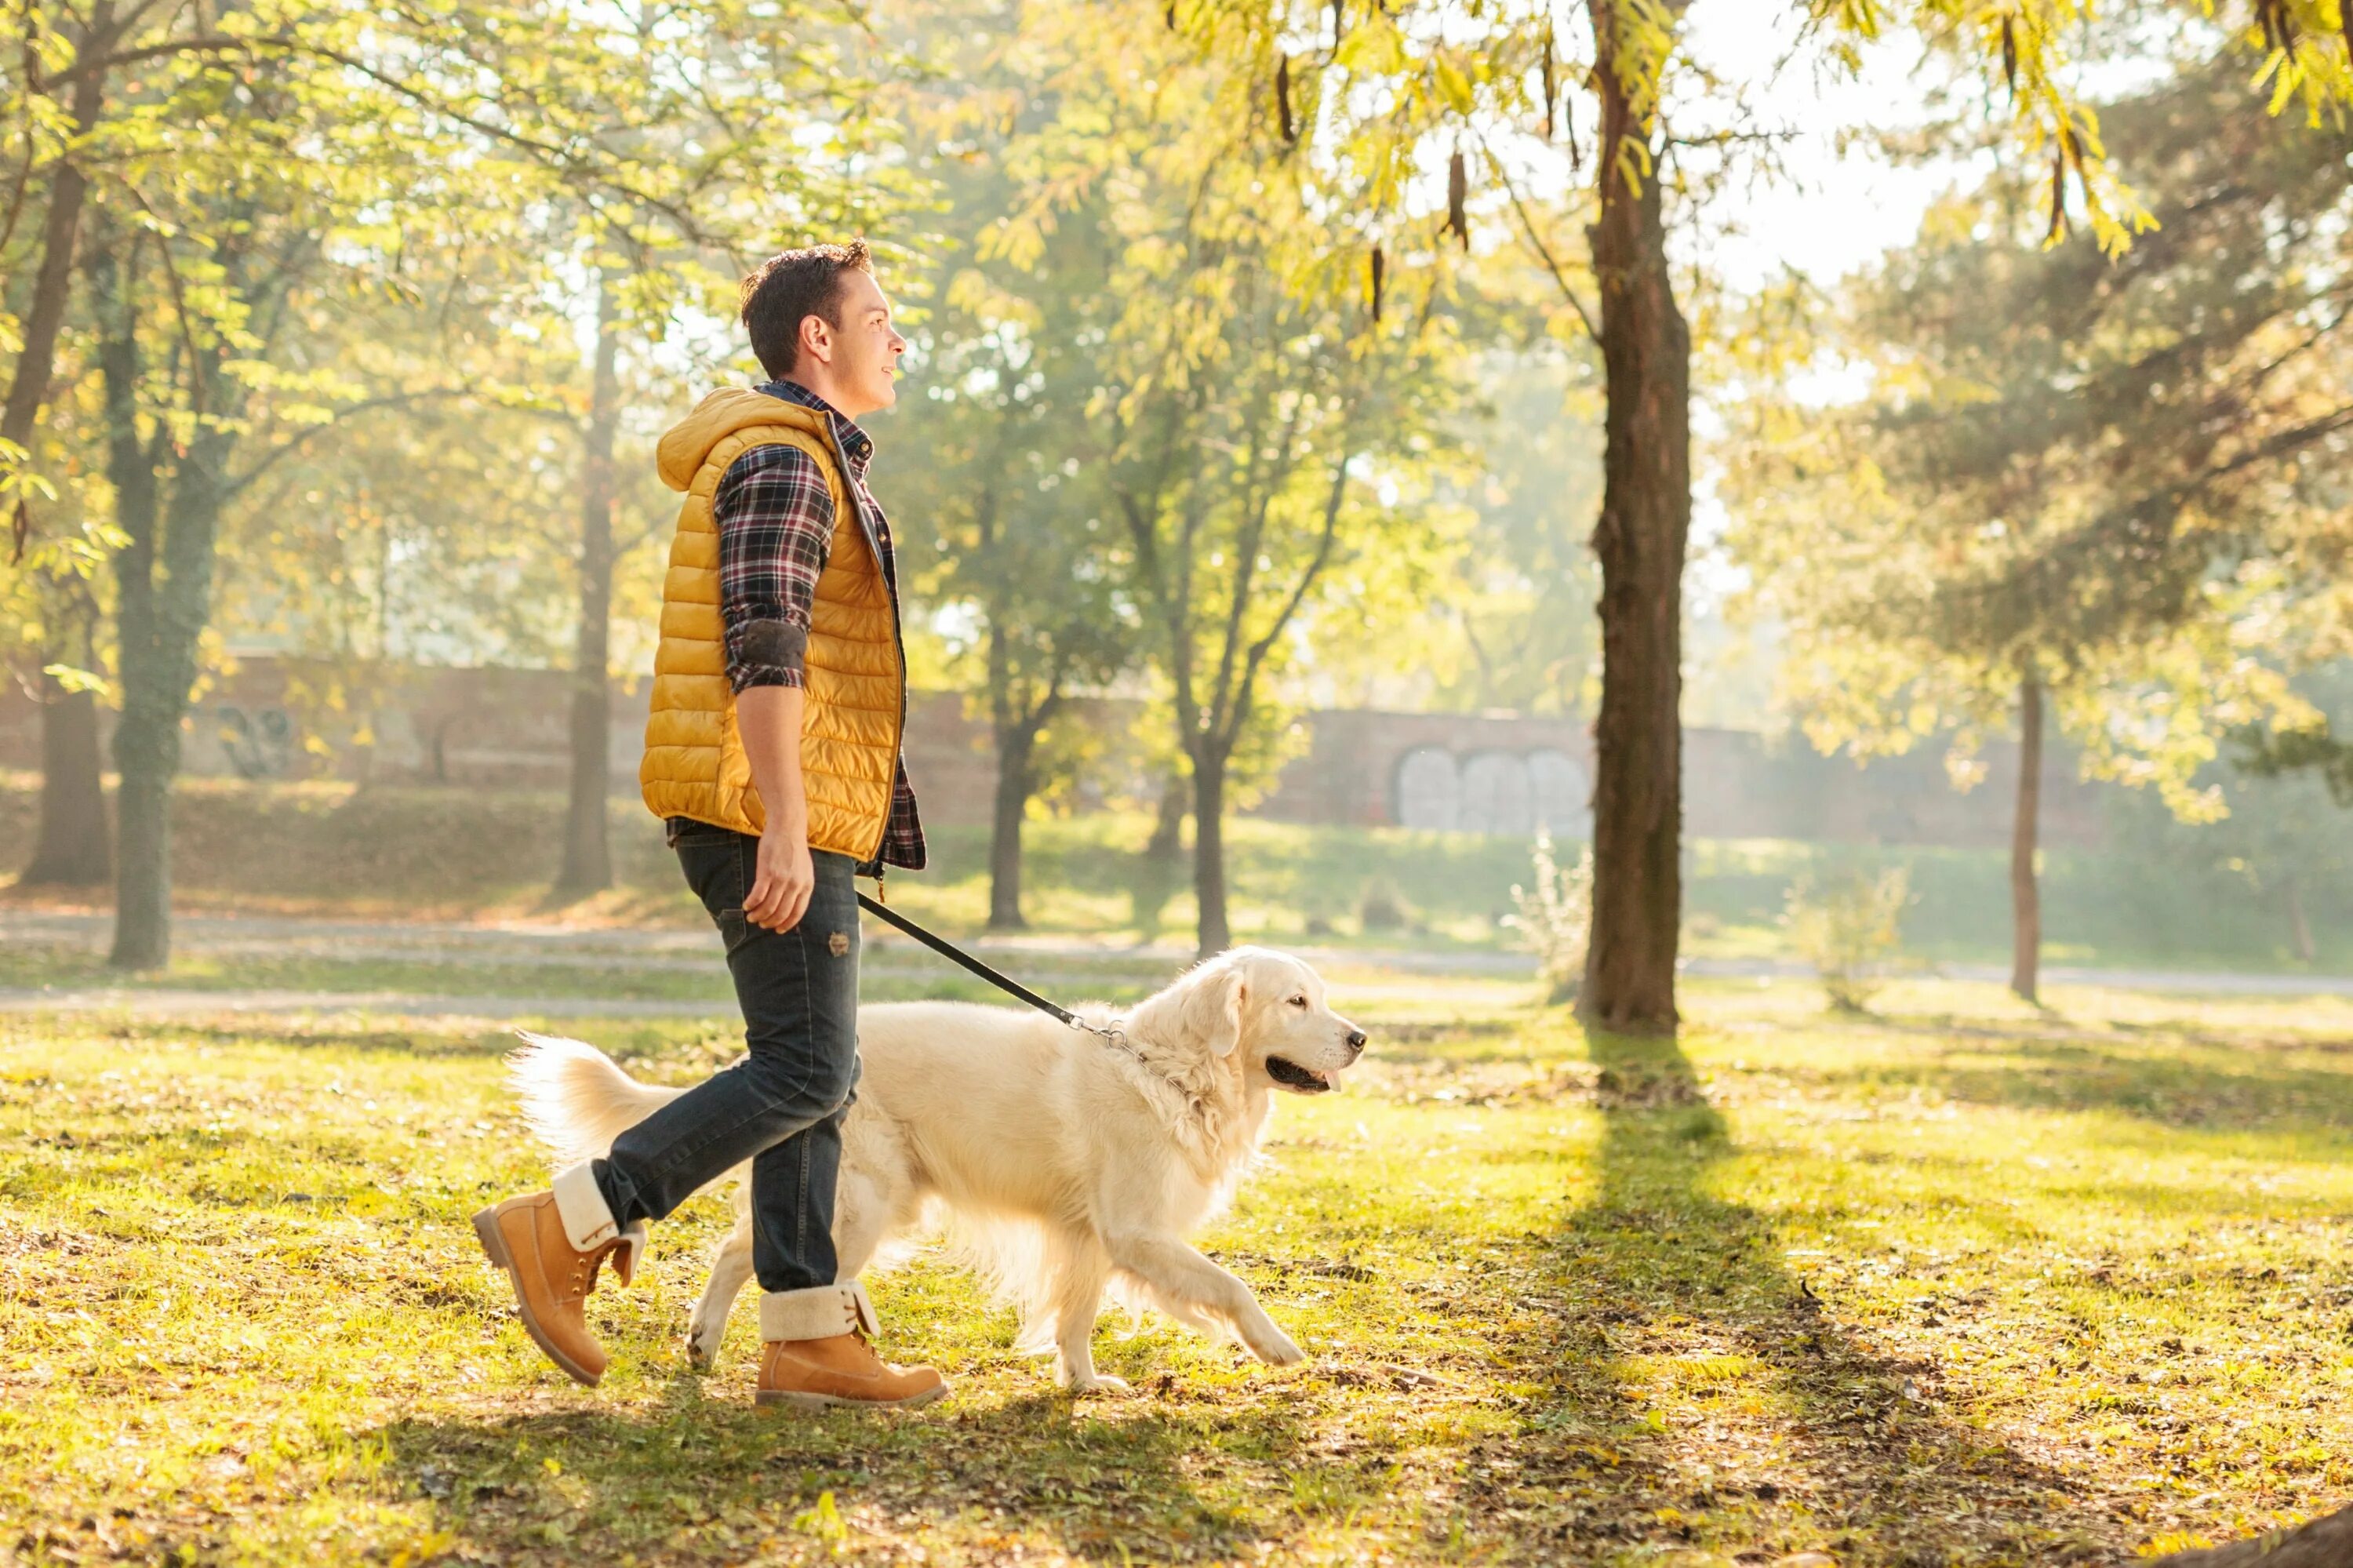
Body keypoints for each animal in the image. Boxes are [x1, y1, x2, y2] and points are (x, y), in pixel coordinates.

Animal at [506, 946, 1374, 1384]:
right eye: (1296, 1001)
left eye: (1322, 996)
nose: (1361, 1037)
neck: (1170, 1068)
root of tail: (780, 1060)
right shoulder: (1135, 1230)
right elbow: (1230, 1284)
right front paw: (1275, 1344)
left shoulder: (1091, 1237)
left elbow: (1077, 1317)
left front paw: (1083, 1384)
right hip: (867, 1202)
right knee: (750, 1256)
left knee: (741, 1251)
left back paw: (707, 1344)